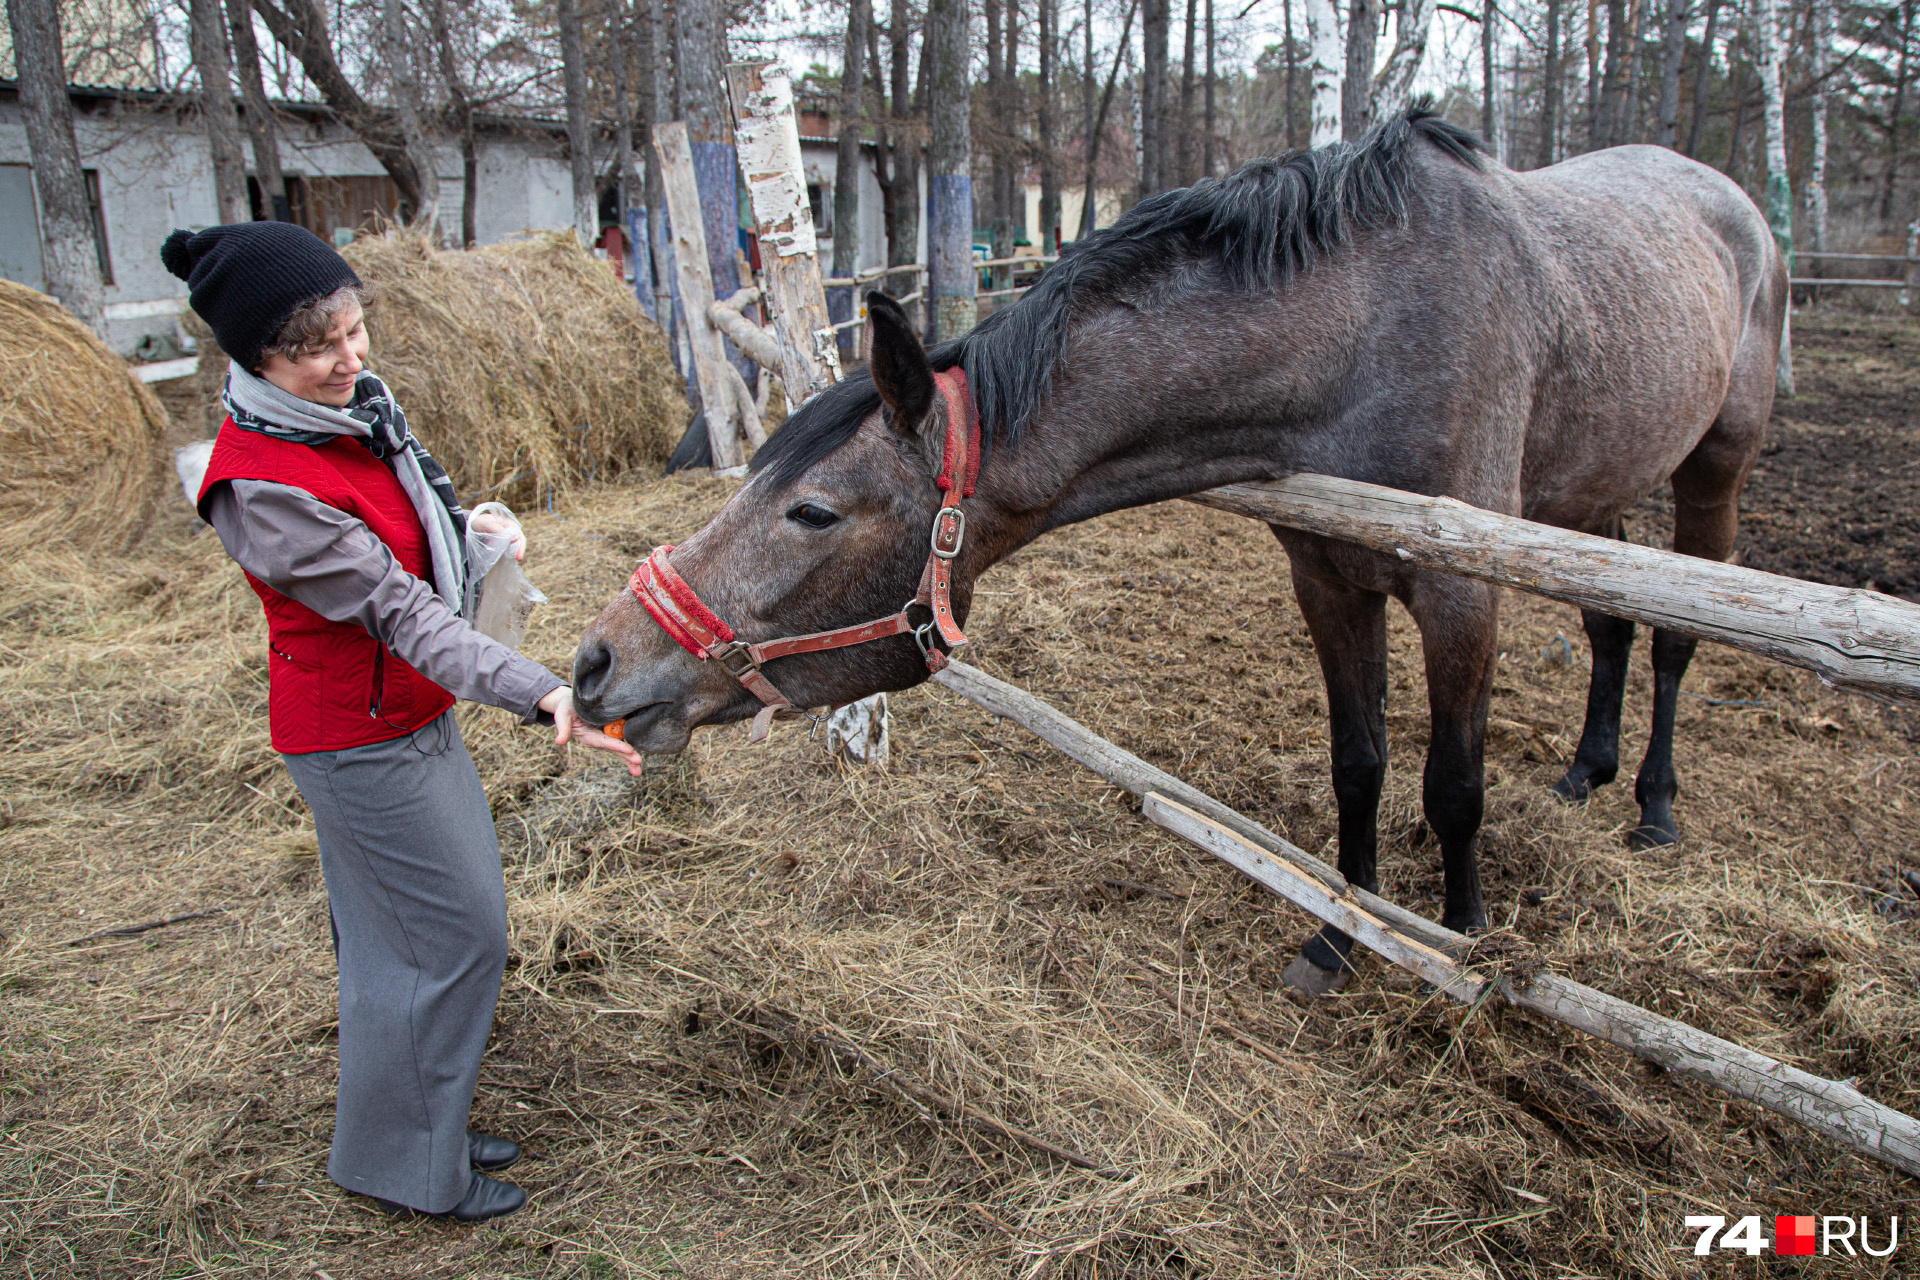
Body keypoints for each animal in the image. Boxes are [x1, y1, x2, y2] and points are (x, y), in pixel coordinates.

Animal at [568, 110, 1781, 997]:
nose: (596, 663)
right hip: (1594, 493)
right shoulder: (1326, 576)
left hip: (1711, 471)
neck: (1369, 334)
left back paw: (1654, 806)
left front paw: (1463, 941)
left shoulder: (1459, 588)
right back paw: (1586, 768)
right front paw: (1342, 937)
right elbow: (1359, 764)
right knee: (1611, 622)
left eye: (812, 511)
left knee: (1675, 640)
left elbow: (1454, 787)